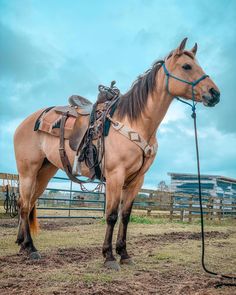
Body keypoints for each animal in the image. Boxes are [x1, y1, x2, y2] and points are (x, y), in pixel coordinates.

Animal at [13, 38, 219, 270]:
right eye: (186, 66)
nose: (215, 93)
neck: (136, 122)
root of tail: (26, 122)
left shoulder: (136, 180)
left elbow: (126, 216)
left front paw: (124, 253)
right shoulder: (115, 176)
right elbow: (111, 215)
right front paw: (109, 257)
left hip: (45, 172)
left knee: (27, 203)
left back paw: (22, 244)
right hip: (28, 172)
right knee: (24, 205)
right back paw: (30, 248)